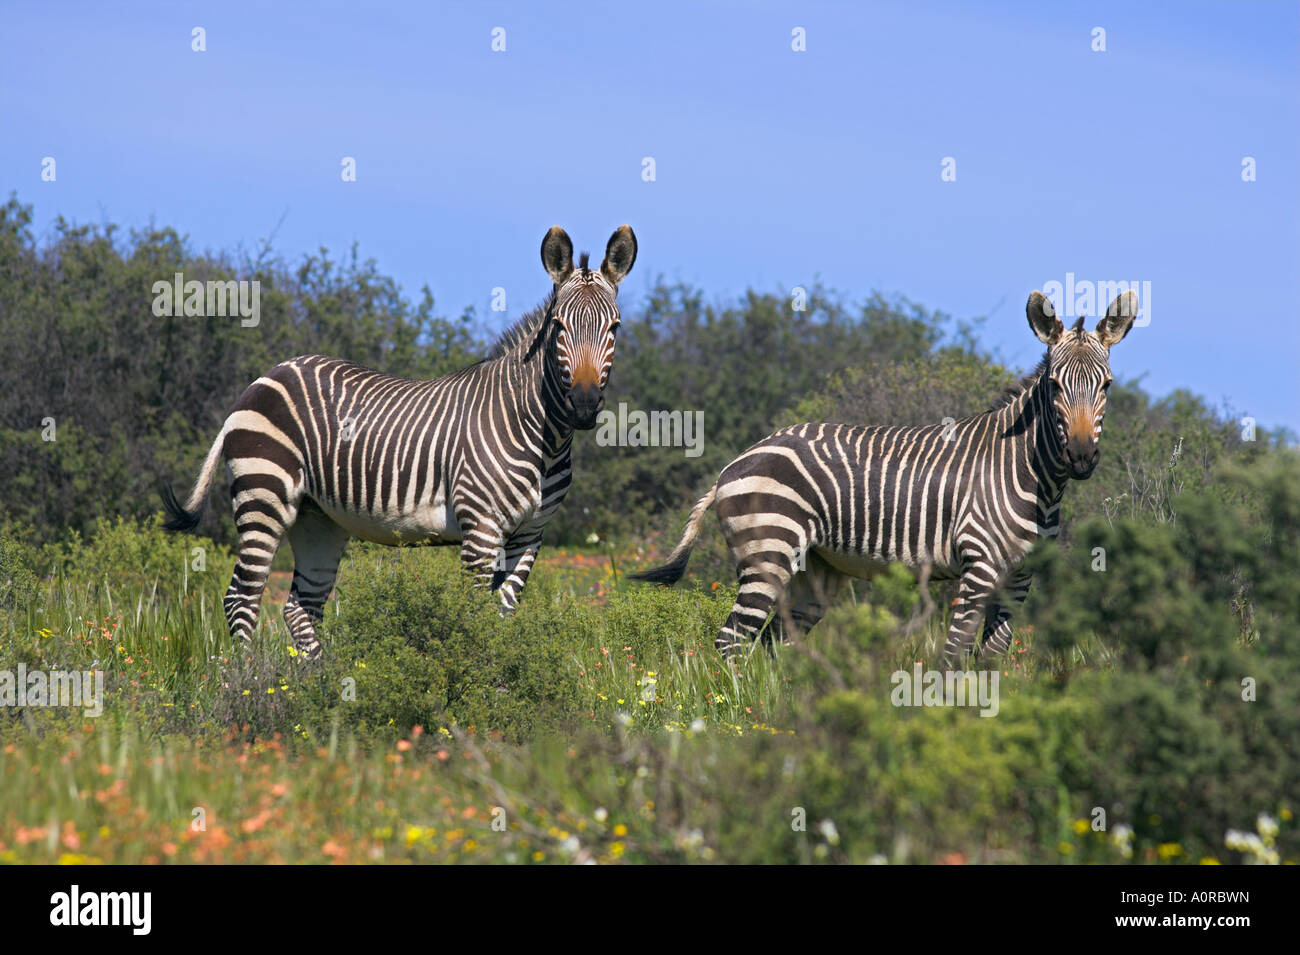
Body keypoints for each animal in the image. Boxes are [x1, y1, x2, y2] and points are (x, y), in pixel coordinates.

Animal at [161, 224, 637, 659]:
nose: (583, 404)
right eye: (558, 326)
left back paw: (317, 686)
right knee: (241, 598)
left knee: (300, 608)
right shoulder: (481, 528)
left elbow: (501, 616)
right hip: (265, 495)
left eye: (615, 327)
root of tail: (263, 379)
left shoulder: (530, 536)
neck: (542, 434)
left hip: (317, 519)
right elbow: (473, 619)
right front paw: (473, 688)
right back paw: (247, 685)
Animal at [633, 288, 1138, 666]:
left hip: (814, 570)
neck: (1034, 478)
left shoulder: (1020, 577)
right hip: (767, 551)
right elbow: (954, 653)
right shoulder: (978, 568)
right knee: (732, 642)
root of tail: (736, 463)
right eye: (1054, 385)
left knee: (775, 644)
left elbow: (993, 656)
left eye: (1107, 385)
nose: (1081, 456)